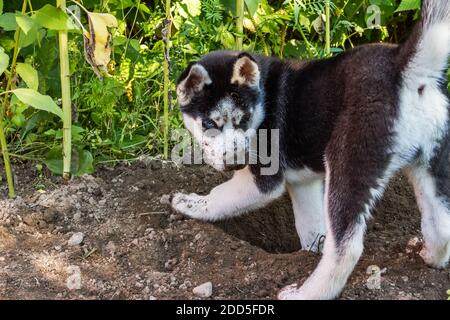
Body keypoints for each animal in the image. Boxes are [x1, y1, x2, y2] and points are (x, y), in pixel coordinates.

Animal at [171, 0, 450, 300]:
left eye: (242, 120)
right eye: (209, 124)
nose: (235, 162)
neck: (263, 99)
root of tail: (402, 65)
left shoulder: (264, 181)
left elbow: (220, 196)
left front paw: (191, 203)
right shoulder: (304, 184)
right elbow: (310, 227)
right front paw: (310, 251)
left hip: (348, 163)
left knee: (346, 248)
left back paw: (306, 293)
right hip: (431, 166)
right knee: (442, 226)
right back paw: (430, 257)